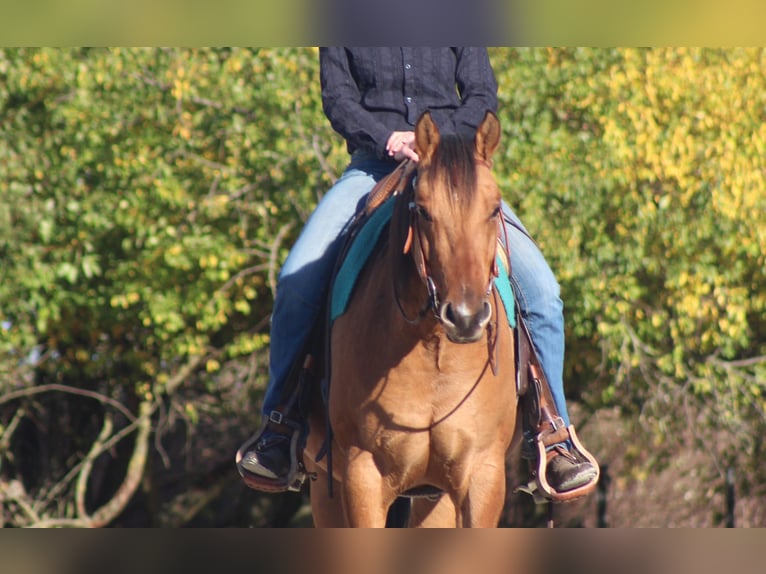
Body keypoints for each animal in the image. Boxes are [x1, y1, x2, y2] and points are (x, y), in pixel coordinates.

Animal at [304, 110, 520, 528]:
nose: (466, 317)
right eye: (422, 210)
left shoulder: (482, 475)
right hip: (326, 490)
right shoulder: (362, 477)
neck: (433, 350)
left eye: (494, 208)